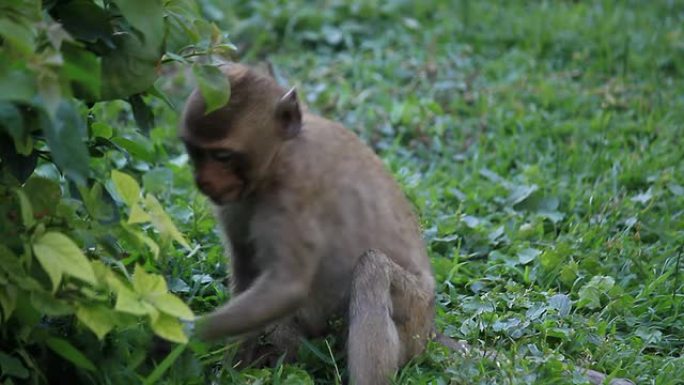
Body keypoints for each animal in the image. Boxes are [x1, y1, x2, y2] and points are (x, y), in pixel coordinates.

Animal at [179, 63, 436, 384]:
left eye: (223, 156)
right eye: (195, 152)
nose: (203, 181)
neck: (281, 154)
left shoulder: (295, 191)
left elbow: (286, 287)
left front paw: (173, 337)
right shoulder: (235, 201)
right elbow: (247, 270)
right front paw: (231, 365)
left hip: (414, 316)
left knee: (372, 270)